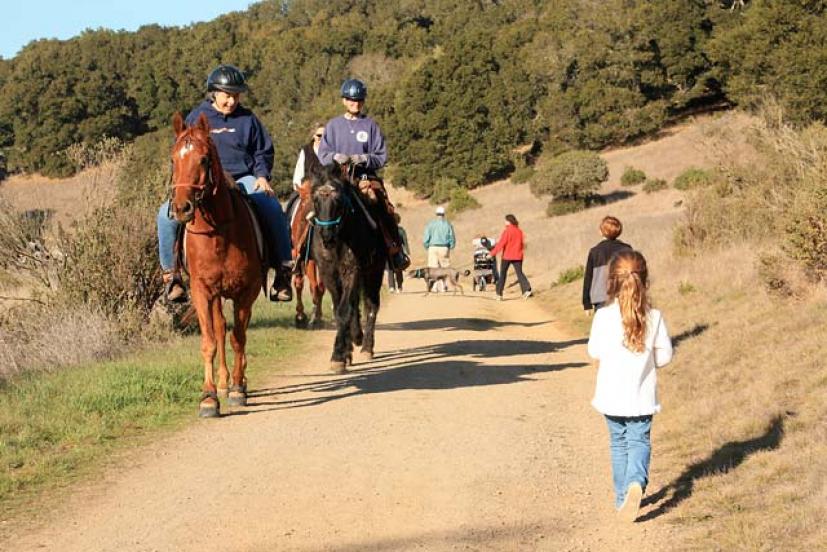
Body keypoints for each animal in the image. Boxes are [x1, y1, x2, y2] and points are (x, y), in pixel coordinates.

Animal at [167, 112, 258, 418]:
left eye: (204, 159)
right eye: (173, 159)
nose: (181, 208)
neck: (218, 232)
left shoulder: (246, 291)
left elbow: (239, 338)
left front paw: (238, 388)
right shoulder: (202, 291)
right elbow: (209, 341)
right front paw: (208, 397)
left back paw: (237, 382)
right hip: (215, 295)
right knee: (219, 329)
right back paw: (222, 382)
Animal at [288, 180, 326, 328]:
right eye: (303, 203)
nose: (312, 218)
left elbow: (320, 287)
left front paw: (317, 316)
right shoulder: (307, 260)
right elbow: (311, 286)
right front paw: (307, 317)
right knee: (300, 283)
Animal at [310, 164, 388, 370]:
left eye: (338, 200)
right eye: (315, 199)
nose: (326, 236)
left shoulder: (352, 271)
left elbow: (344, 311)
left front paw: (338, 356)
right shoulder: (329, 274)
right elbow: (340, 309)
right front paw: (345, 352)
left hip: (374, 272)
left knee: (371, 305)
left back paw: (366, 346)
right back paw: (355, 338)